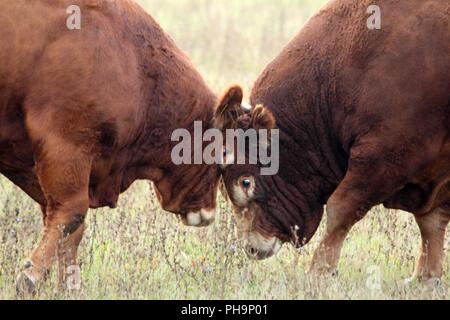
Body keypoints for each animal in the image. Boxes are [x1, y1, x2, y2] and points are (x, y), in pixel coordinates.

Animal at [0, 0, 223, 296]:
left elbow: (67, 226)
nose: (208, 213)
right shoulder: (66, 147)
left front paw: (68, 285)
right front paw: (30, 278)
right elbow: (71, 214)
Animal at [216, 0, 448, 284]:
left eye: (246, 182)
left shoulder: (383, 156)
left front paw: (318, 270)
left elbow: (342, 209)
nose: (251, 247)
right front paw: (425, 277)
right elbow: (432, 223)